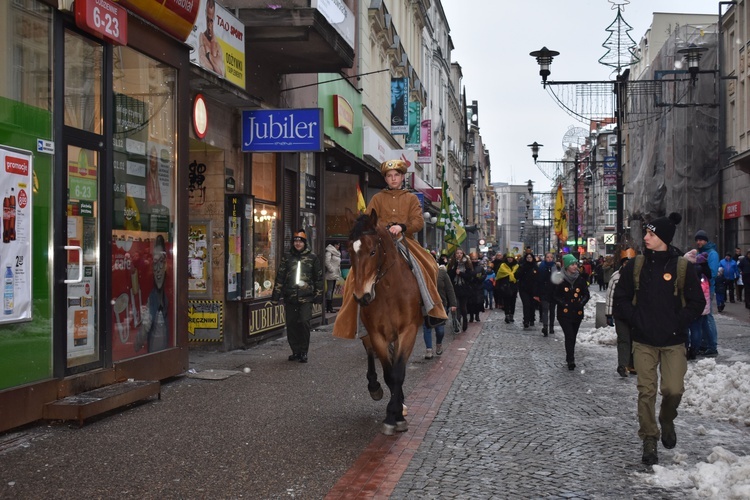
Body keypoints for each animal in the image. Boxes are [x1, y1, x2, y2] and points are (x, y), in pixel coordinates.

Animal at [346, 209, 424, 436]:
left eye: (373, 252)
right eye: (350, 250)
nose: (361, 296)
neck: (390, 291)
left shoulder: (408, 331)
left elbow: (398, 372)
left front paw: (397, 416)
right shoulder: (377, 334)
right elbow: (389, 374)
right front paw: (392, 414)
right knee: (370, 354)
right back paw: (375, 387)